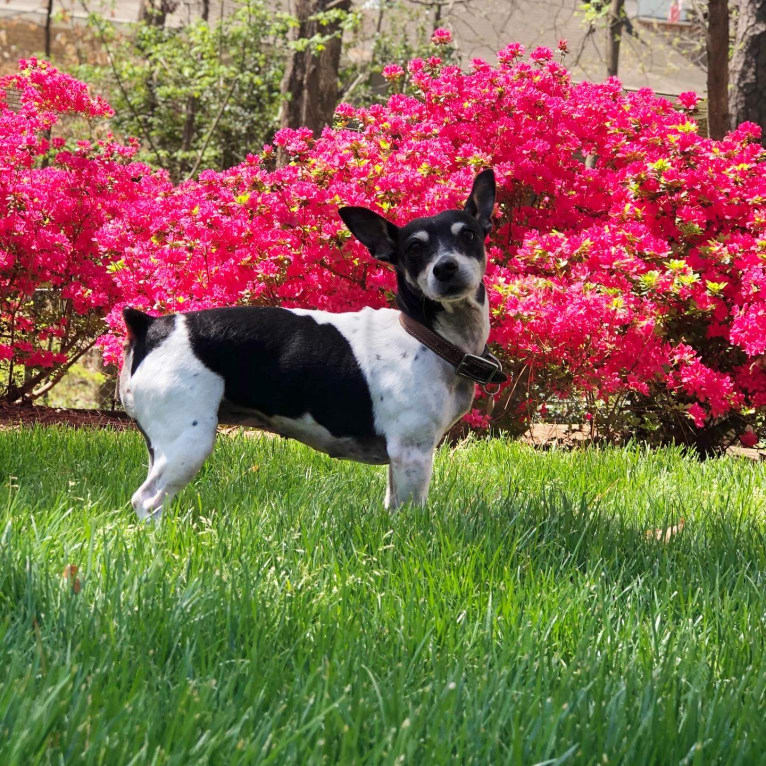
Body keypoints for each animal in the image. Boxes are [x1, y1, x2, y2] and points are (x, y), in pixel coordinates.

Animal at [120, 170, 504, 524]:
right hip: (187, 442)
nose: (446, 267)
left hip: (162, 447)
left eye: (468, 235)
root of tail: (151, 326)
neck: (427, 335)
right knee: (147, 500)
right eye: (414, 249)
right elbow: (412, 513)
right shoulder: (413, 452)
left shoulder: (400, 461)